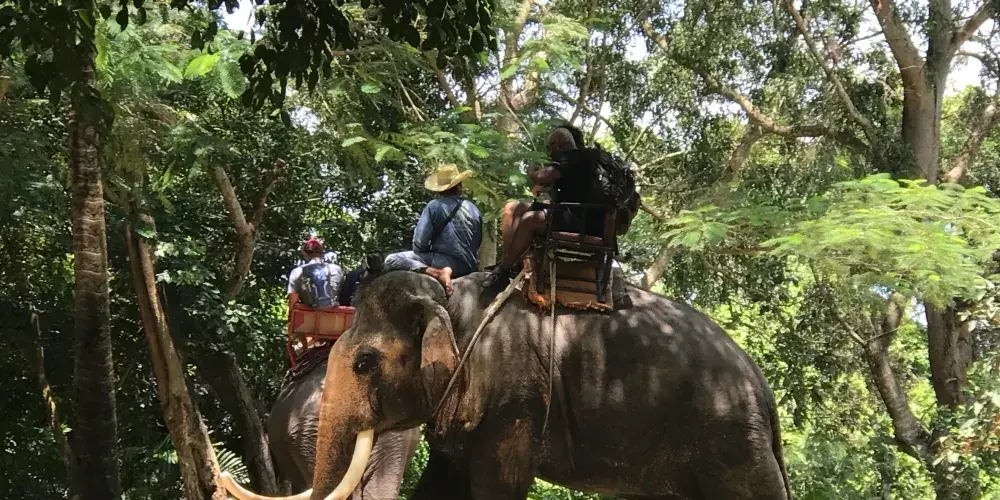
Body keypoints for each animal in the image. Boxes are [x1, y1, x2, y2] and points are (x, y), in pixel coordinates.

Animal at [230, 270, 791, 500]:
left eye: (365, 363)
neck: (450, 299)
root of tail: (763, 390)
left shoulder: (514, 399)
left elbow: (497, 486)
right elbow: (442, 487)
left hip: (730, 437)